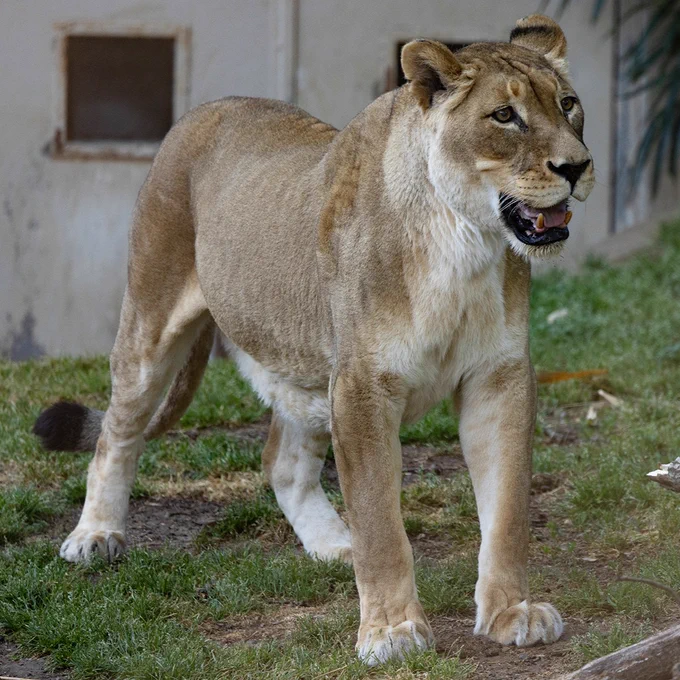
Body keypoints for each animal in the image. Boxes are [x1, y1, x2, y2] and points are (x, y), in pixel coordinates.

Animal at [33, 14, 594, 665]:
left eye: (568, 105)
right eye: (505, 116)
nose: (577, 166)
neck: (465, 242)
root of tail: (203, 109)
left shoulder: (499, 376)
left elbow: (506, 513)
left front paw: (510, 613)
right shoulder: (361, 385)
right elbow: (380, 519)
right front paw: (391, 631)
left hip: (306, 370)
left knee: (281, 461)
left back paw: (334, 545)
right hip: (152, 321)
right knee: (116, 437)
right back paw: (95, 536)